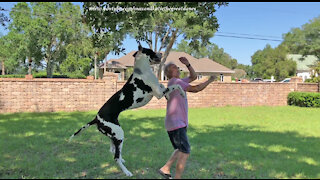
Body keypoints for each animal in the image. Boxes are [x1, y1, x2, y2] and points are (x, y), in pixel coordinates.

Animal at [69, 44, 186, 176]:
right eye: (151, 50)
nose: (161, 53)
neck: (142, 71)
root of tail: (96, 118)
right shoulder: (159, 93)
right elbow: (175, 86)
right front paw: (182, 93)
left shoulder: (159, 90)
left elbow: (164, 86)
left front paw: (169, 96)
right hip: (119, 135)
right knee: (115, 157)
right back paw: (127, 172)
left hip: (114, 135)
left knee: (112, 150)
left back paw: (123, 160)